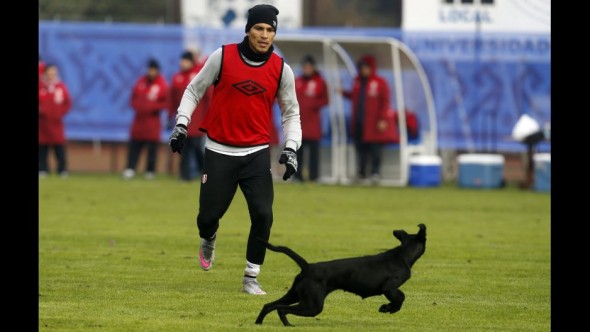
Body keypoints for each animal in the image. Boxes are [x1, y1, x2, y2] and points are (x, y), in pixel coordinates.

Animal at [256, 224, 428, 326]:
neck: (403, 254)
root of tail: (307, 266)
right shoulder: (389, 288)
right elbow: (400, 298)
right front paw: (388, 308)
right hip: (312, 305)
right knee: (281, 309)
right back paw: (288, 325)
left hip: (295, 295)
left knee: (269, 305)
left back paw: (259, 323)